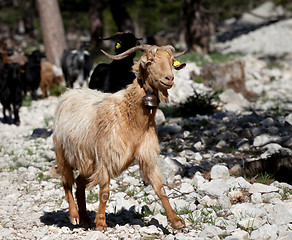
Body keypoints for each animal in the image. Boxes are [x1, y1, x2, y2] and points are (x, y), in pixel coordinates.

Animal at [53, 44, 187, 230]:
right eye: (149, 62)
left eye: (171, 60)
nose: (169, 78)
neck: (129, 118)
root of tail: (68, 93)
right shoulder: (105, 158)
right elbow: (104, 193)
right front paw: (101, 223)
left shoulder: (147, 155)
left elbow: (160, 189)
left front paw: (176, 221)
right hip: (62, 153)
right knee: (66, 182)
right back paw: (74, 216)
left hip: (87, 161)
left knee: (79, 184)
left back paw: (85, 219)